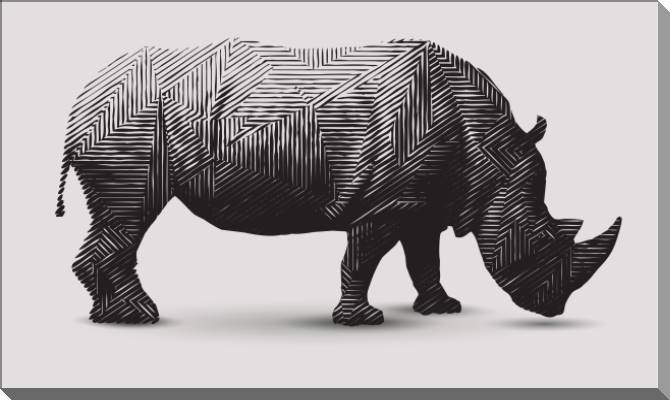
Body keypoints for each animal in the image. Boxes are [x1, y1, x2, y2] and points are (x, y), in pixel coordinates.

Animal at [56, 39, 621, 325]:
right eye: (542, 242)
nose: (553, 308)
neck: (492, 155)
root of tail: (85, 91)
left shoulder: (424, 202)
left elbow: (424, 257)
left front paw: (442, 309)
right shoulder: (386, 202)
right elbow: (362, 257)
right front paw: (362, 320)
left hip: (128, 119)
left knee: (117, 218)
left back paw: (106, 316)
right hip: (133, 124)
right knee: (130, 211)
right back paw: (139, 317)